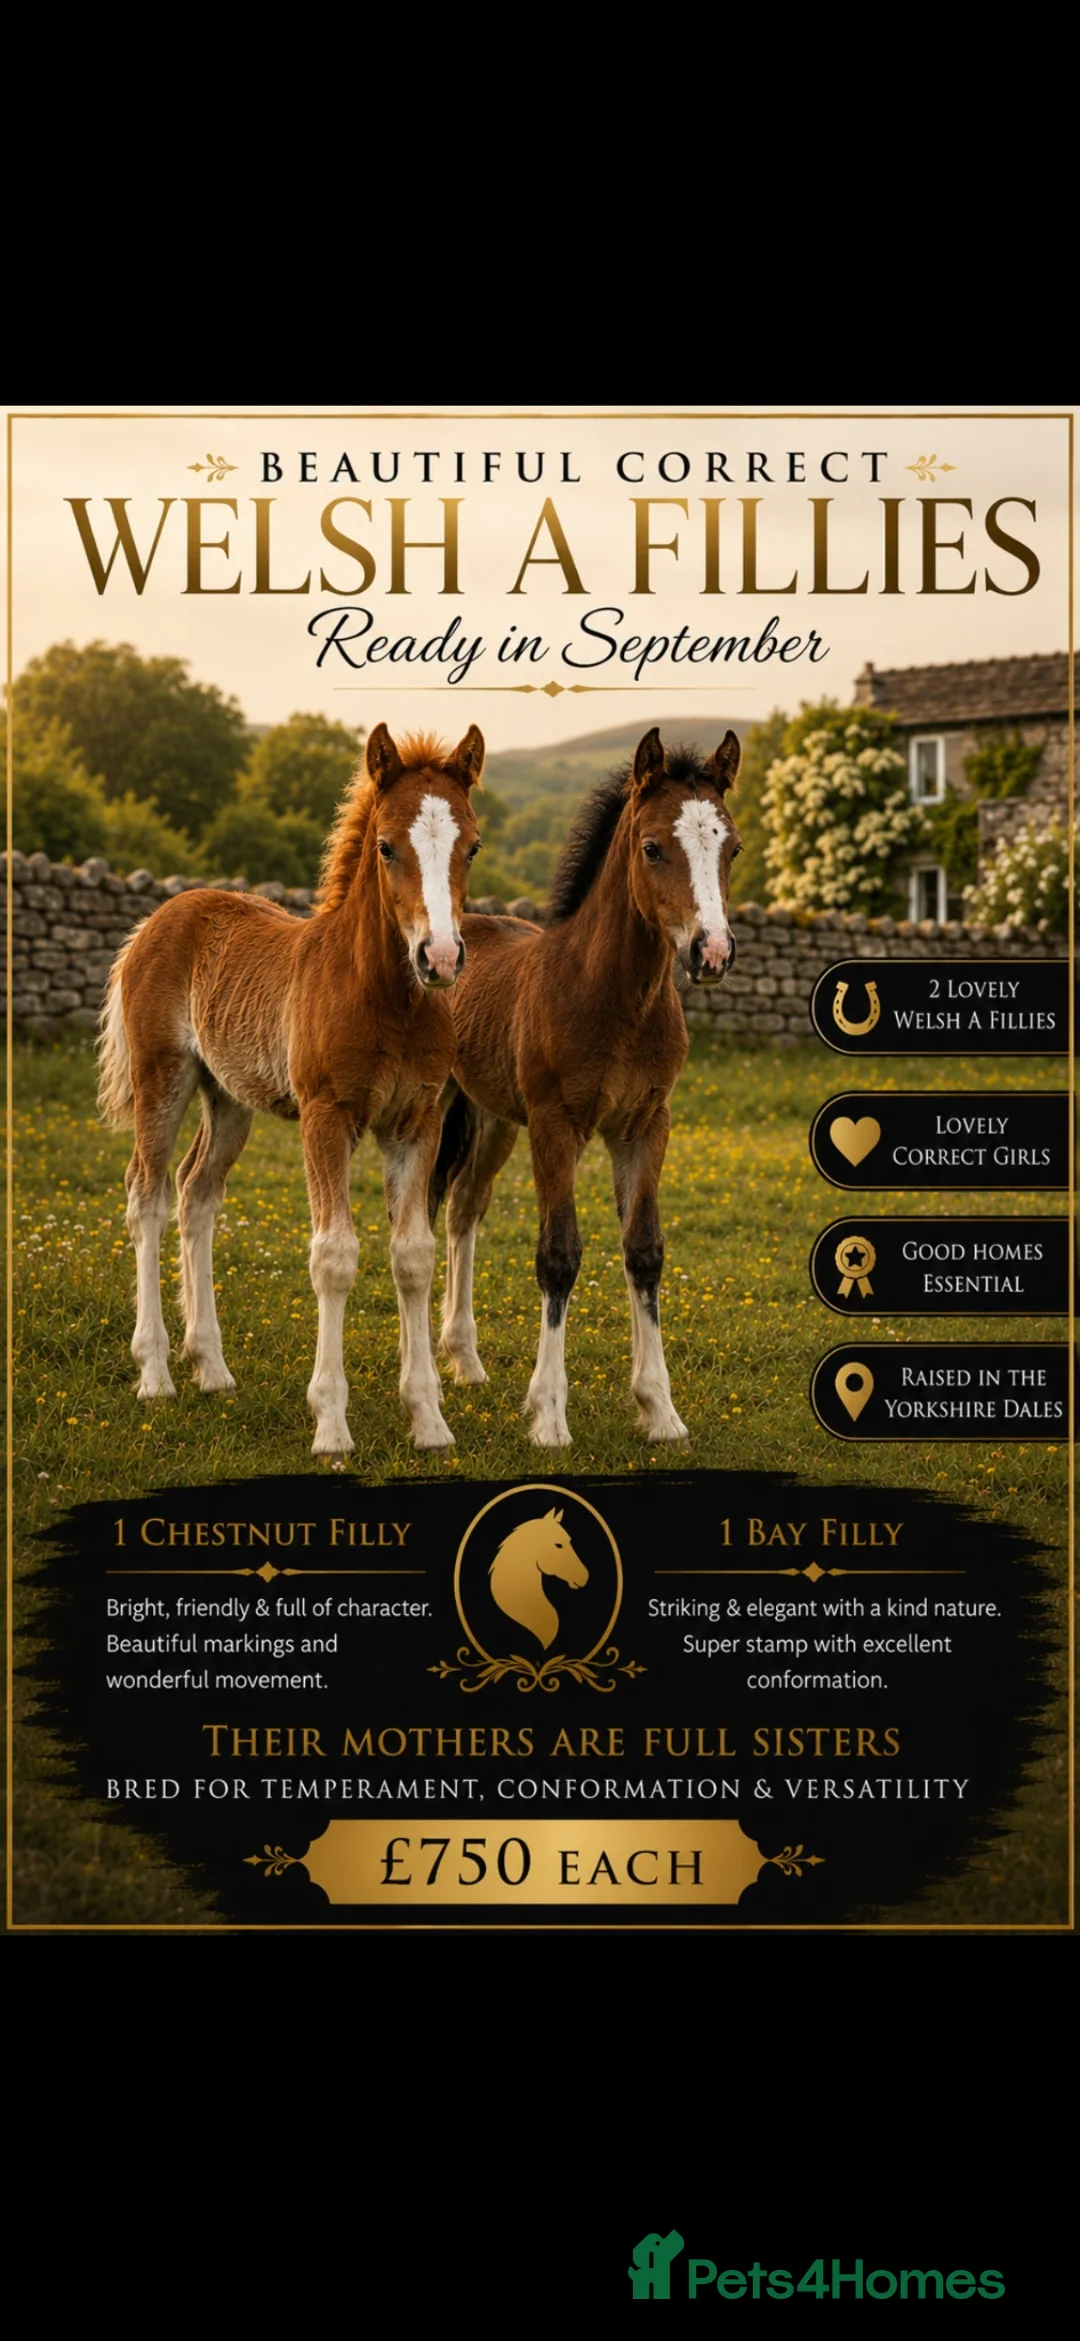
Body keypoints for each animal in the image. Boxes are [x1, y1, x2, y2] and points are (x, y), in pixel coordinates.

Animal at [97, 722, 484, 1460]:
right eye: (386, 846)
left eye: (472, 846)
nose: (442, 959)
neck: (387, 1000)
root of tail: (156, 918)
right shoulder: (325, 1117)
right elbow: (334, 1255)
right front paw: (331, 1424)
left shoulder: (416, 1121)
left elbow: (414, 1257)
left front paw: (429, 1420)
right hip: (164, 1078)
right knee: (147, 1195)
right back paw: (155, 1372)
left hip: (228, 1098)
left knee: (196, 1193)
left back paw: (212, 1367)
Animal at [432, 725, 741, 1448]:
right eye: (652, 847)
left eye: (732, 846)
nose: (711, 952)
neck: (614, 998)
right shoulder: (556, 1125)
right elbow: (559, 1255)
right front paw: (548, 1413)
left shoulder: (645, 1126)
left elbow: (644, 1250)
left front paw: (660, 1409)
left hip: (493, 1120)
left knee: (464, 1210)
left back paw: (466, 1360)